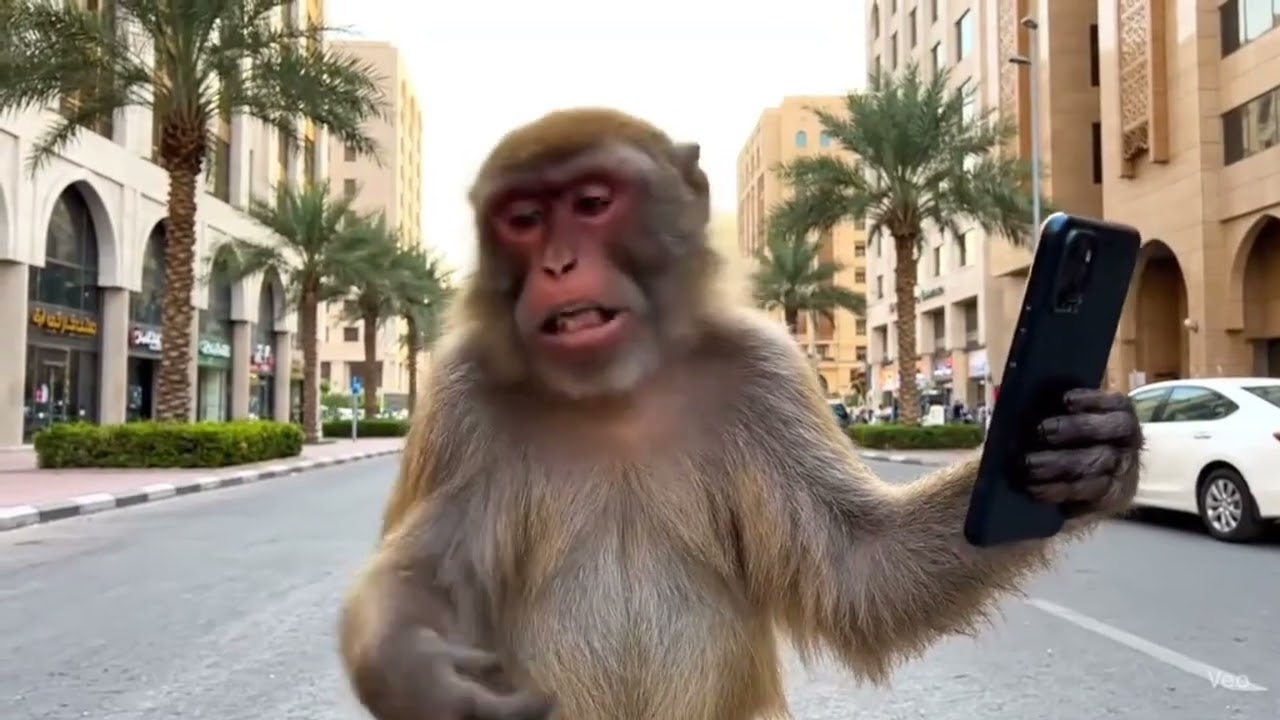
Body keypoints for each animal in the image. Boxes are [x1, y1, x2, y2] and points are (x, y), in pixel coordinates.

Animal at [338, 107, 1143, 720]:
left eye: (592, 204)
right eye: (524, 218)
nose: (558, 265)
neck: (618, 396)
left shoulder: (766, 375)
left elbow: (862, 569)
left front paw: (1096, 460)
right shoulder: (460, 401)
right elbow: (424, 578)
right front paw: (418, 672)